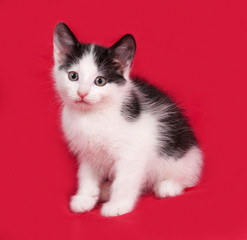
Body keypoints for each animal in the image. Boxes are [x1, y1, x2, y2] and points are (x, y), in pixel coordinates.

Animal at [52, 23, 203, 218]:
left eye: (100, 81)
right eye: (73, 76)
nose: (82, 93)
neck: (93, 115)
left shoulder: (132, 153)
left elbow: (124, 181)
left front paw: (118, 205)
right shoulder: (87, 151)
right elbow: (86, 176)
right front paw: (85, 199)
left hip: (179, 158)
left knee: (187, 178)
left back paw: (169, 185)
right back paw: (105, 190)